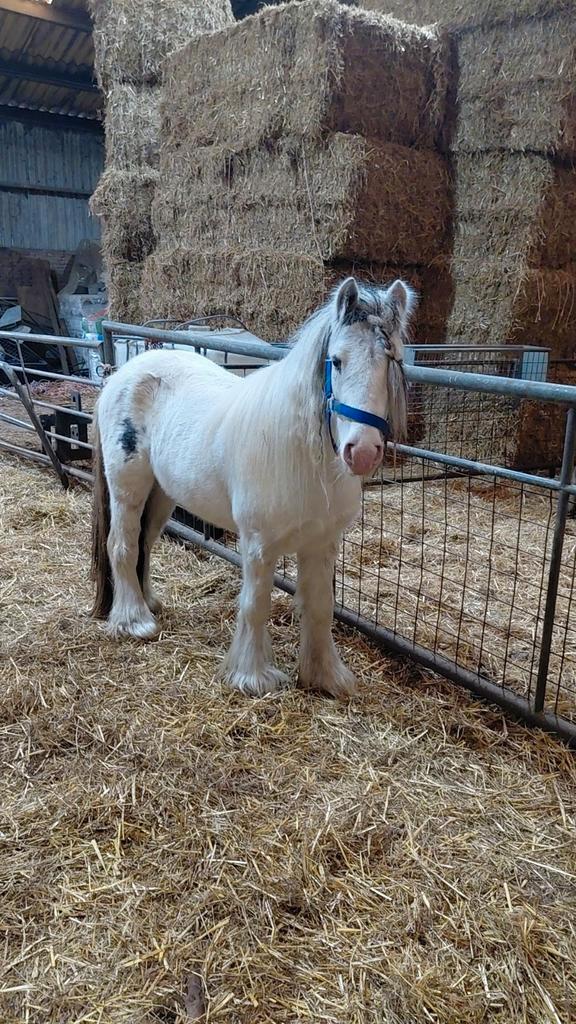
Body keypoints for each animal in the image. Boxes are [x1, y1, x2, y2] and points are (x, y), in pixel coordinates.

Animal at [91, 276, 414, 698]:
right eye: (338, 360)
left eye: (394, 360)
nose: (361, 451)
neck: (307, 461)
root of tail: (122, 373)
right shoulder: (259, 544)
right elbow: (255, 605)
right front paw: (253, 677)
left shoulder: (322, 542)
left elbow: (320, 606)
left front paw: (325, 676)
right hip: (128, 488)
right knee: (122, 545)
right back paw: (135, 621)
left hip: (161, 495)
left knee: (144, 544)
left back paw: (150, 603)